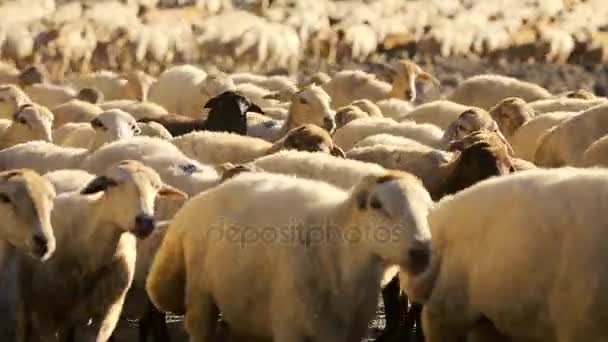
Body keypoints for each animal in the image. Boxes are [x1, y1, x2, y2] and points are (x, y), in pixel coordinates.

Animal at [146, 171, 432, 342]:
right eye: (376, 205)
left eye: (428, 207)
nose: (422, 252)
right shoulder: (290, 326)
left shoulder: (349, 330)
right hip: (201, 296)